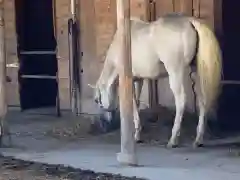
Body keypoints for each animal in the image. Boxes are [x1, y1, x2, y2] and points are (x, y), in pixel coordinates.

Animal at [88, 14, 221, 148]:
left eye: (97, 100)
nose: (104, 123)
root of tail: (189, 21)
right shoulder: (138, 80)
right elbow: (136, 102)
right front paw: (137, 133)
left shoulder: (129, 81)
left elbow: (132, 103)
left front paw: (135, 135)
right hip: (195, 72)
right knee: (202, 100)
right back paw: (198, 139)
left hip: (175, 72)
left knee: (181, 100)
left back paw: (173, 140)